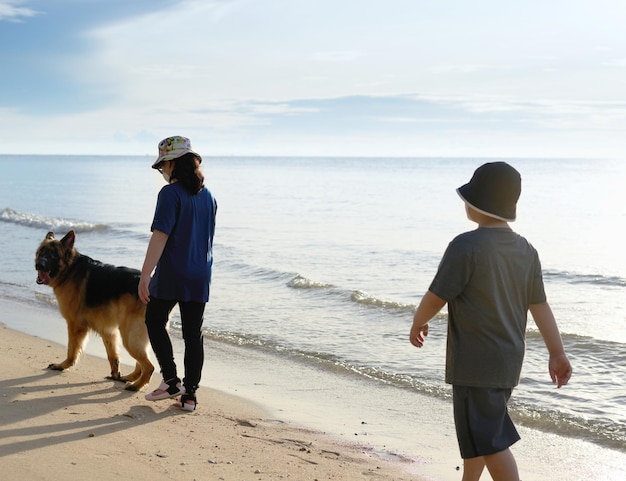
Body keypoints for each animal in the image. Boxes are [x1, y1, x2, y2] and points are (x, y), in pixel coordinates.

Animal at [34, 229, 153, 390]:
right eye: (41, 252)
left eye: (53, 255)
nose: (39, 265)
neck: (70, 270)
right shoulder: (108, 332)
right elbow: (112, 357)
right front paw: (115, 375)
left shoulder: (75, 326)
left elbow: (71, 351)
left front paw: (62, 366)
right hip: (135, 338)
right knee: (141, 363)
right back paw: (131, 378)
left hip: (130, 337)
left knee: (149, 367)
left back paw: (136, 385)